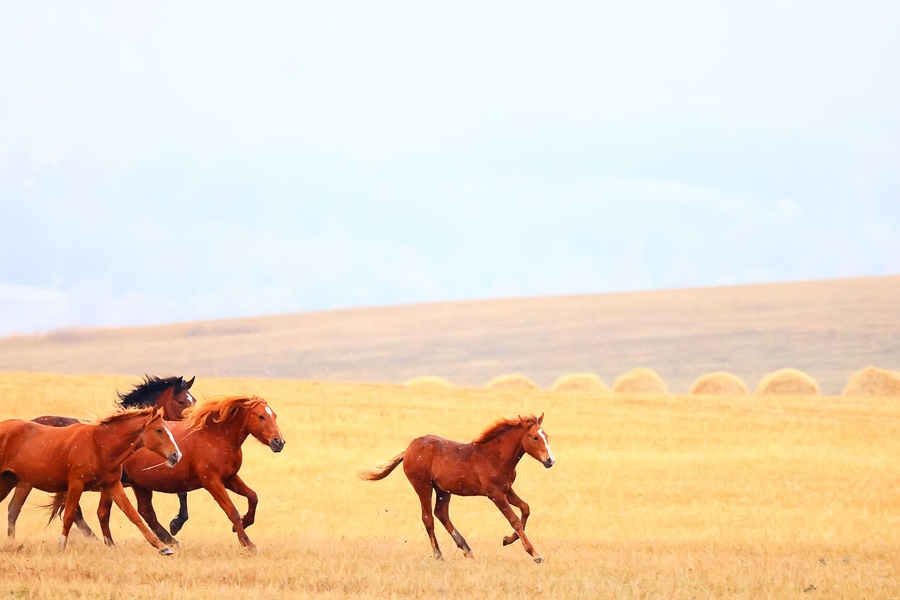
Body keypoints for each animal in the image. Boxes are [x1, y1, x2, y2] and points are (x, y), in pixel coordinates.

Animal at [0, 406, 182, 554]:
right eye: (159, 430)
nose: (176, 455)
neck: (99, 446)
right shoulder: (76, 485)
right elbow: (69, 516)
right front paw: (61, 547)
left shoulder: (112, 485)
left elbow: (133, 515)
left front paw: (162, 547)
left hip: (8, 481)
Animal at [6, 375, 196, 540]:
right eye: (181, 401)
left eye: (194, 401)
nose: (192, 425)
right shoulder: (134, 481)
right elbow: (144, 509)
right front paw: (173, 529)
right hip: (26, 481)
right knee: (14, 508)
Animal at [63, 395, 285, 552]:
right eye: (261, 416)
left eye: (274, 415)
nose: (279, 442)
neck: (215, 437)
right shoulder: (212, 481)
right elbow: (231, 510)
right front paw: (247, 543)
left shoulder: (230, 478)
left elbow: (253, 497)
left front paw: (244, 525)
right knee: (107, 512)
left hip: (135, 484)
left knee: (142, 511)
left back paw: (168, 541)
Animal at [359, 413, 556, 563]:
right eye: (535, 437)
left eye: (546, 436)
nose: (550, 460)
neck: (495, 457)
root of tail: (408, 449)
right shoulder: (495, 494)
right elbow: (514, 519)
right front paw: (535, 554)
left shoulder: (507, 489)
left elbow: (525, 508)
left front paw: (507, 540)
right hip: (423, 486)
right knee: (428, 518)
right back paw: (439, 555)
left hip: (442, 490)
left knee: (441, 513)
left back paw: (466, 549)